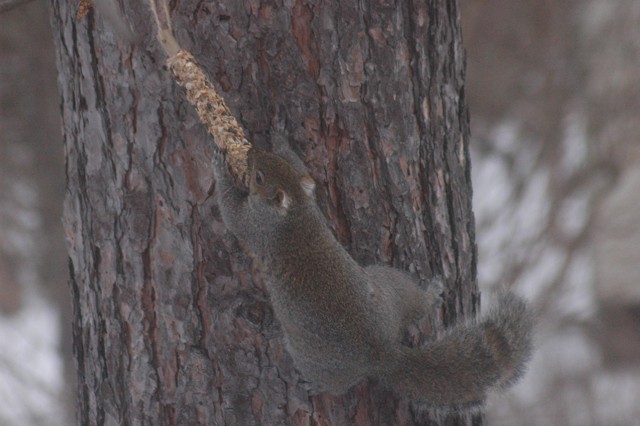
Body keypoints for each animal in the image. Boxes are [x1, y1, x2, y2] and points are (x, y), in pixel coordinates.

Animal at [213, 145, 534, 411]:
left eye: (258, 177)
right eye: (269, 162)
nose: (252, 151)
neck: (295, 211)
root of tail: (384, 354)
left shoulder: (256, 224)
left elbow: (231, 215)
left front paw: (219, 167)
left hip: (312, 356)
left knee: (339, 386)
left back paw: (317, 385)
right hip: (392, 286)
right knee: (417, 304)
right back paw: (432, 293)